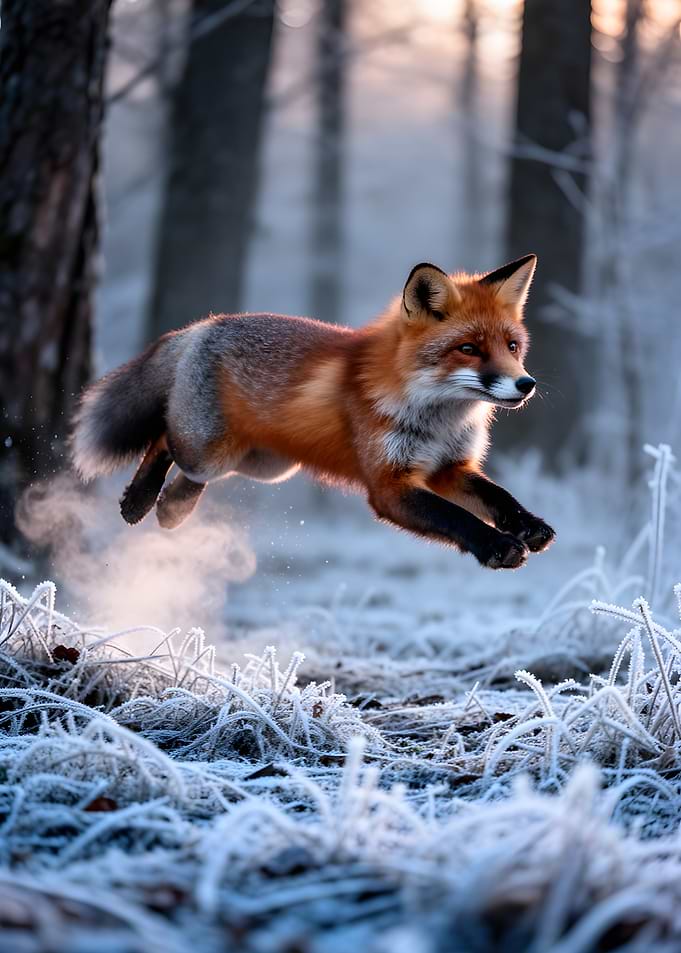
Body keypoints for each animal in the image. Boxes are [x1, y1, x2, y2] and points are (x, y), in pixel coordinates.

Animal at [72, 253, 555, 570]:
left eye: (512, 346)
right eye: (469, 349)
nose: (525, 384)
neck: (438, 419)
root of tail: (205, 324)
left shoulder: (449, 467)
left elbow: (497, 495)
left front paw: (527, 525)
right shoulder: (390, 485)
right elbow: (455, 517)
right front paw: (497, 546)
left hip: (264, 465)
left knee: (189, 476)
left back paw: (173, 508)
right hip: (211, 451)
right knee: (164, 440)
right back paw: (139, 500)